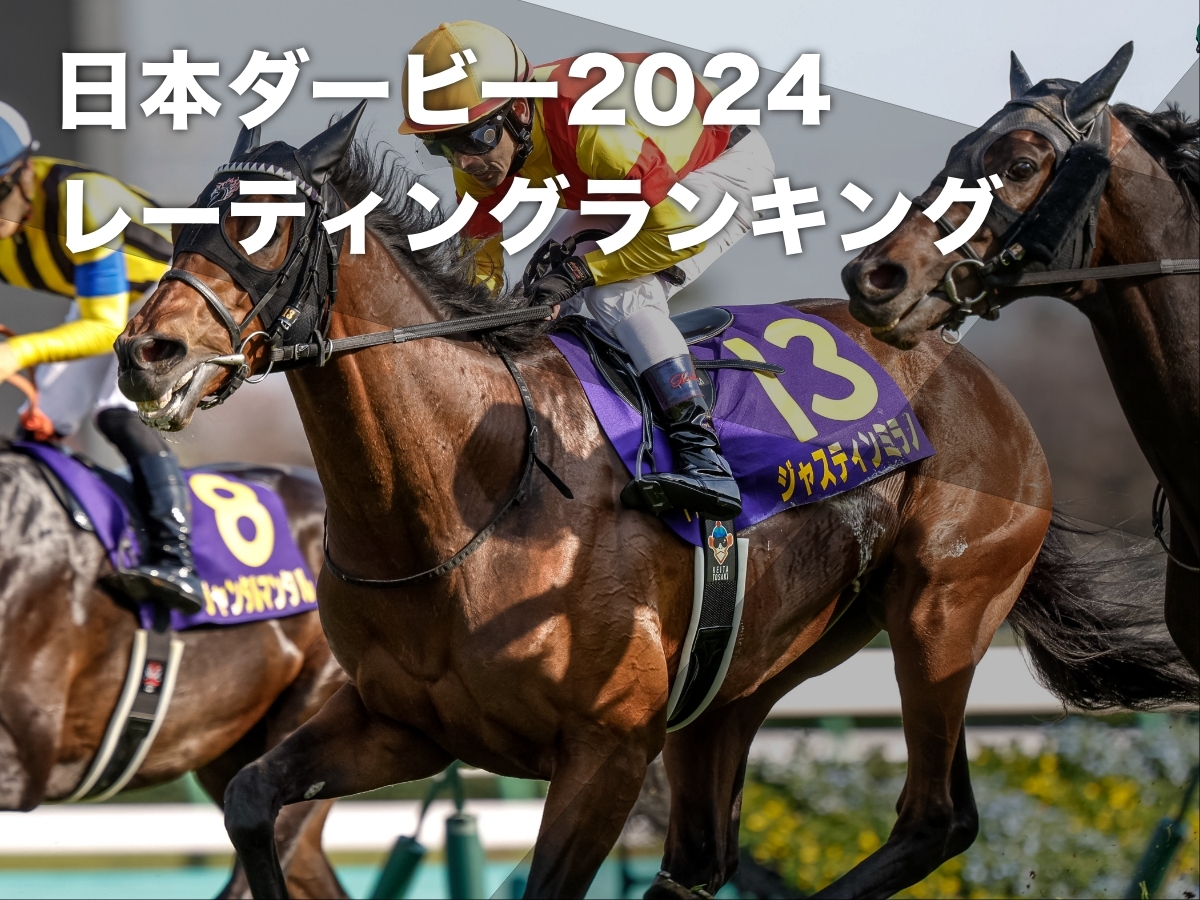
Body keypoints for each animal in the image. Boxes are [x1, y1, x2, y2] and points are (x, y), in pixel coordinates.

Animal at [113, 109, 1196, 899]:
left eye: (261, 225)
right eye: (185, 224)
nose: (145, 352)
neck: (466, 491)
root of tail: (976, 375)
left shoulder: (607, 750)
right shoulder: (400, 724)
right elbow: (253, 802)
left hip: (942, 611)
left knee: (937, 817)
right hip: (739, 681)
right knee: (702, 857)